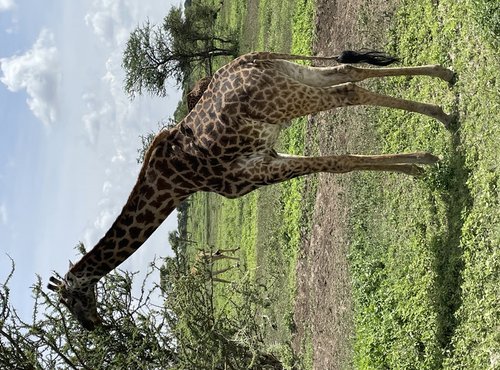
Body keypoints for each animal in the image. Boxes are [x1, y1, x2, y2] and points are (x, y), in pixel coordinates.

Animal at [47, 49, 458, 330]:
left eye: (74, 301)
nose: (94, 327)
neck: (177, 182)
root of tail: (253, 59)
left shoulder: (250, 177)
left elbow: (338, 162)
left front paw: (423, 161)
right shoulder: (266, 158)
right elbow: (337, 159)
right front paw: (417, 166)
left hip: (283, 99)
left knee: (350, 90)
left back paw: (444, 116)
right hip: (292, 78)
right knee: (349, 70)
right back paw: (446, 77)